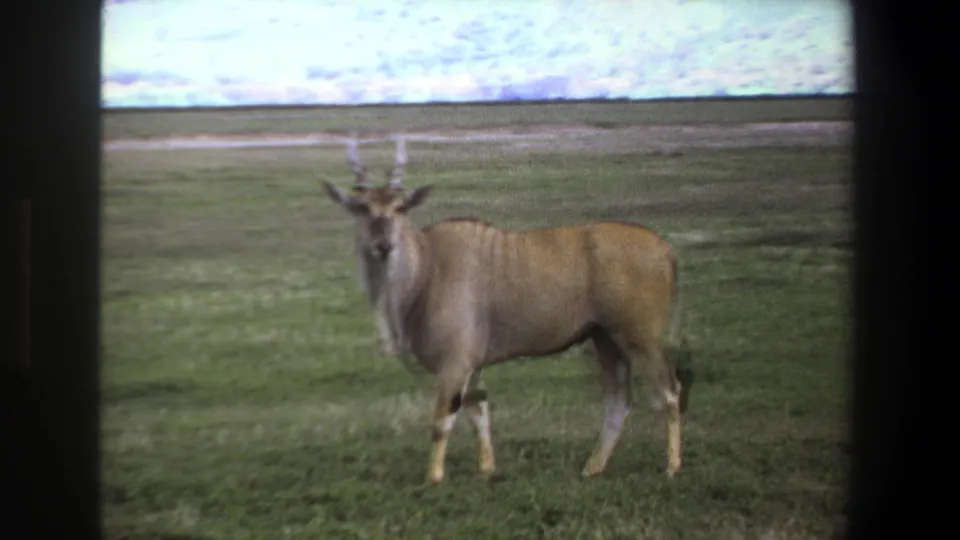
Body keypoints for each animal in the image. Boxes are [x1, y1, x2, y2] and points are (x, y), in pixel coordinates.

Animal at [321, 138, 688, 484]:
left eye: (399, 207)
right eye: (361, 207)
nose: (383, 246)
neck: (427, 265)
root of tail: (666, 249)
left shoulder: (455, 363)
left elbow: (442, 420)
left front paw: (433, 476)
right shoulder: (472, 366)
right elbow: (479, 415)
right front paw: (488, 470)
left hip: (639, 338)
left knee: (669, 392)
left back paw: (671, 467)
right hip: (605, 339)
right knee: (618, 399)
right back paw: (592, 467)